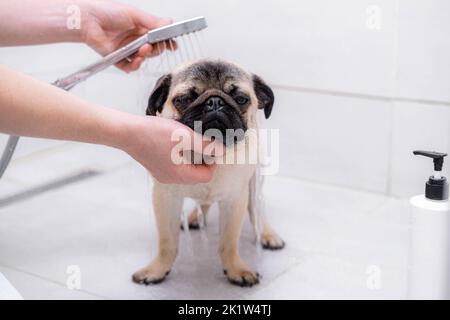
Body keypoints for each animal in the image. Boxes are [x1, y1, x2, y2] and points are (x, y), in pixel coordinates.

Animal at [132, 58, 284, 286]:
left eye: (241, 99)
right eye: (184, 99)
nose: (215, 102)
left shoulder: (234, 200)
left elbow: (229, 242)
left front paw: (236, 269)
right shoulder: (165, 198)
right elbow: (167, 243)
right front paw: (157, 269)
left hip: (254, 183)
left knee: (257, 209)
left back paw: (268, 235)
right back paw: (194, 218)